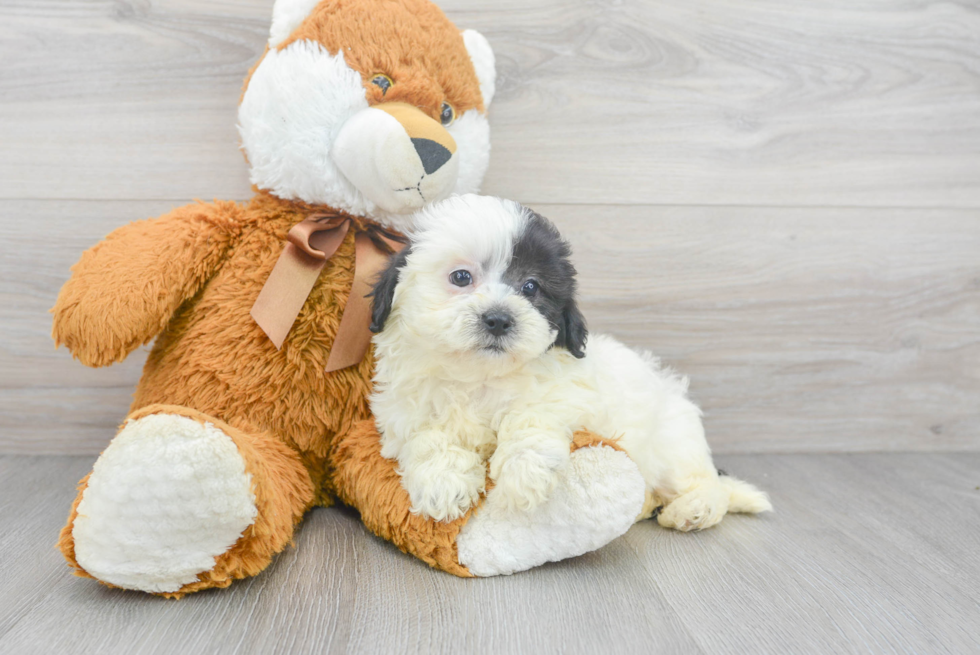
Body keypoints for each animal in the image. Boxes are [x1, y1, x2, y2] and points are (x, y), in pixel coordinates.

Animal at [370, 193, 772, 528]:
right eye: (460, 276)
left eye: (531, 286)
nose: (498, 319)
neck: (480, 377)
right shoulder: (408, 411)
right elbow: (429, 440)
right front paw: (444, 486)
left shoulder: (567, 394)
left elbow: (531, 417)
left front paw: (524, 475)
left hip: (673, 445)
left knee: (706, 485)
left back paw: (693, 509)